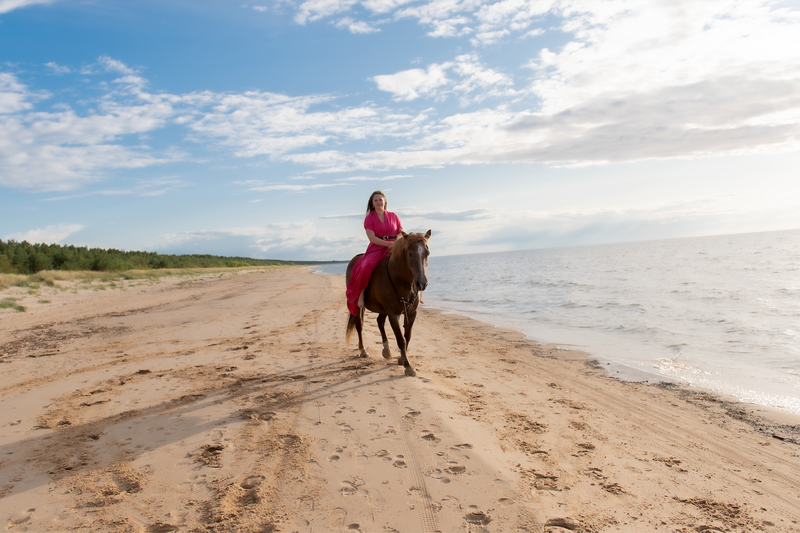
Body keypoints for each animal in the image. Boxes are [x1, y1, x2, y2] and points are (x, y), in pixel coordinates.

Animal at [345, 230, 431, 377]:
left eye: (427, 253)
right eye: (410, 253)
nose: (421, 283)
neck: (402, 280)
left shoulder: (411, 313)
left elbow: (407, 336)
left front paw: (401, 359)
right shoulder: (393, 314)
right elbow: (400, 339)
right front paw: (408, 366)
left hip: (383, 309)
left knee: (379, 321)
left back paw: (386, 350)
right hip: (357, 306)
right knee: (359, 326)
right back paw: (363, 350)